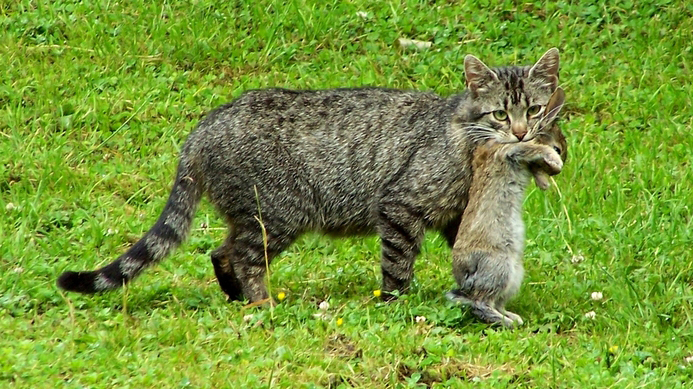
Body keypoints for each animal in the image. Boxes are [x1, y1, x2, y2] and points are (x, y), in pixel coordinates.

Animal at [58, 49, 564, 304]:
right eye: (500, 114)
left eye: (536, 110)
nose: (521, 133)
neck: (460, 132)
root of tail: (204, 127)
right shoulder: (400, 206)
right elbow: (398, 265)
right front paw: (397, 305)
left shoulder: (457, 216)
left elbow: (468, 252)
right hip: (278, 214)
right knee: (243, 257)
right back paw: (260, 304)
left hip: (255, 215)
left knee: (219, 252)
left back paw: (237, 298)